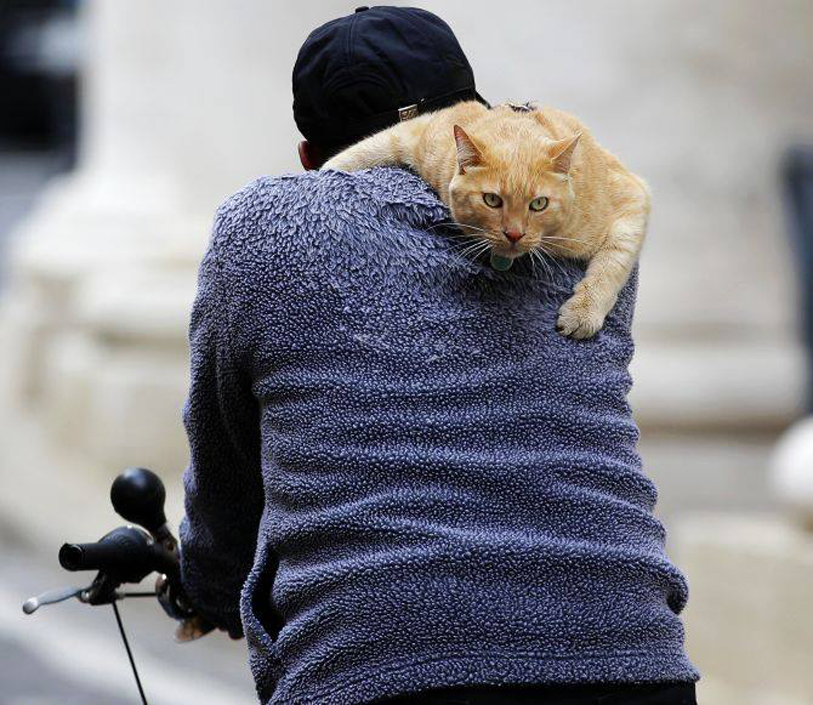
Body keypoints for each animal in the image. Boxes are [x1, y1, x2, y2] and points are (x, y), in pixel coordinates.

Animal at [324, 99, 648, 338]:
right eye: (492, 200)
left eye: (539, 204)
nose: (514, 234)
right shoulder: (419, 133)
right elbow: (361, 151)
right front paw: (323, 174)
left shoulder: (634, 196)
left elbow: (612, 263)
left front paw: (583, 312)